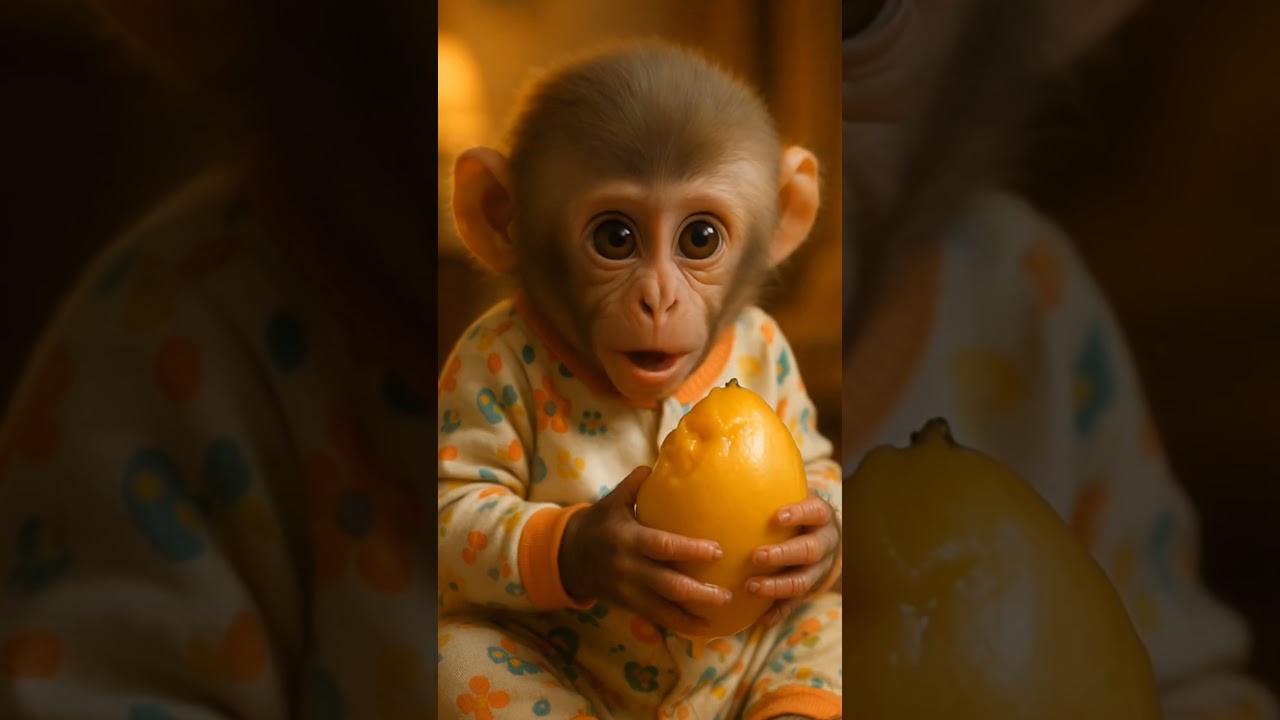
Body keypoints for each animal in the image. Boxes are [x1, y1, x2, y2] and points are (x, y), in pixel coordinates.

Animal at [439, 42, 844, 720]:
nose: (657, 299)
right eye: (616, 238)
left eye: (700, 238)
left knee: (822, 623)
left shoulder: (775, 342)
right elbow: (460, 499)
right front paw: (604, 546)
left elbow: (819, 459)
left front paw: (816, 540)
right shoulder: (481, 358)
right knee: (473, 653)